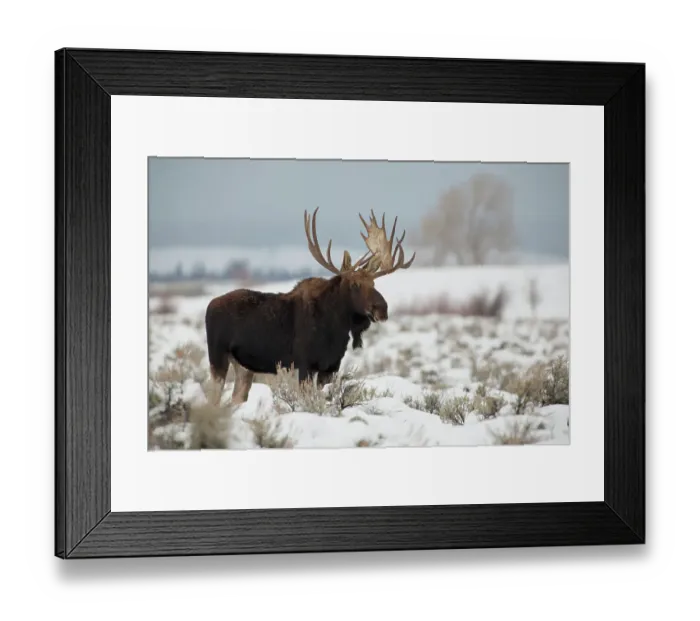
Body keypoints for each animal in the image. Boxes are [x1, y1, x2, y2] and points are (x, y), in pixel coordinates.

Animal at [204, 207, 415, 406]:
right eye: (355, 284)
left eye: (373, 283)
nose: (382, 308)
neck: (335, 328)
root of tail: (210, 305)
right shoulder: (303, 365)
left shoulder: (329, 368)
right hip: (217, 356)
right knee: (213, 398)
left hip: (244, 367)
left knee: (236, 397)